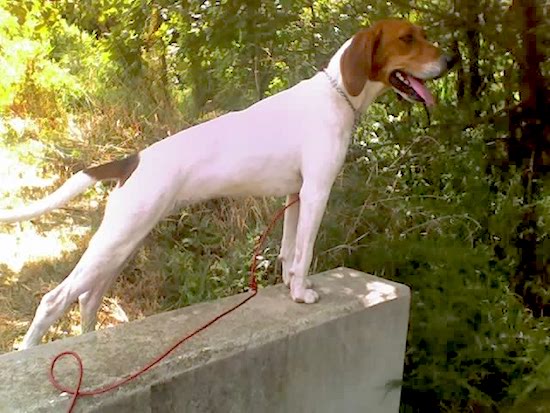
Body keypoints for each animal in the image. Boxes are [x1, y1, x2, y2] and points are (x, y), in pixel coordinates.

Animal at [0, 19, 454, 348]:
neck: (337, 93)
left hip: (122, 242)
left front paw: (292, 285)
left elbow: (290, 252)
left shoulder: (295, 196)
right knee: (55, 300)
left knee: (88, 297)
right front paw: (302, 295)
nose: (451, 60)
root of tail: (134, 159)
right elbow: (305, 252)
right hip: (117, 240)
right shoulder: (316, 192)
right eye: (407, 39)